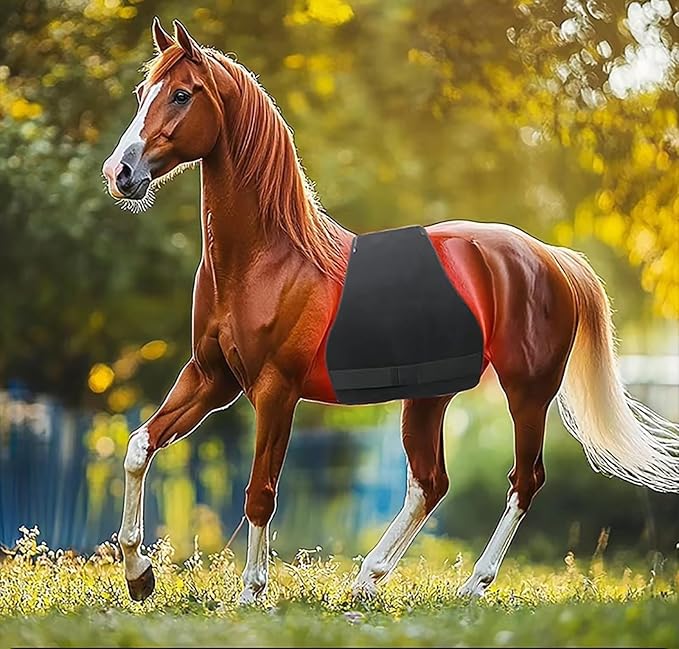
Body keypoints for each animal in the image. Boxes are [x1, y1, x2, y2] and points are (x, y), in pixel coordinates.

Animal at [102, 18, 679, 604]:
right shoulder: (211, 378)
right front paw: (138, 574)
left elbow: (261, 490)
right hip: (427, 399)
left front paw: (250, 594)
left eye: (181, 94)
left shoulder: (274, 389)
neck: (265, 257)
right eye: (141, 93)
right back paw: (367, 580)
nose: (119, 173)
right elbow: (138, 447)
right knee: (430, 483)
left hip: (526, 392)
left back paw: (472, 584)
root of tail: (549, 256)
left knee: (524, 481)